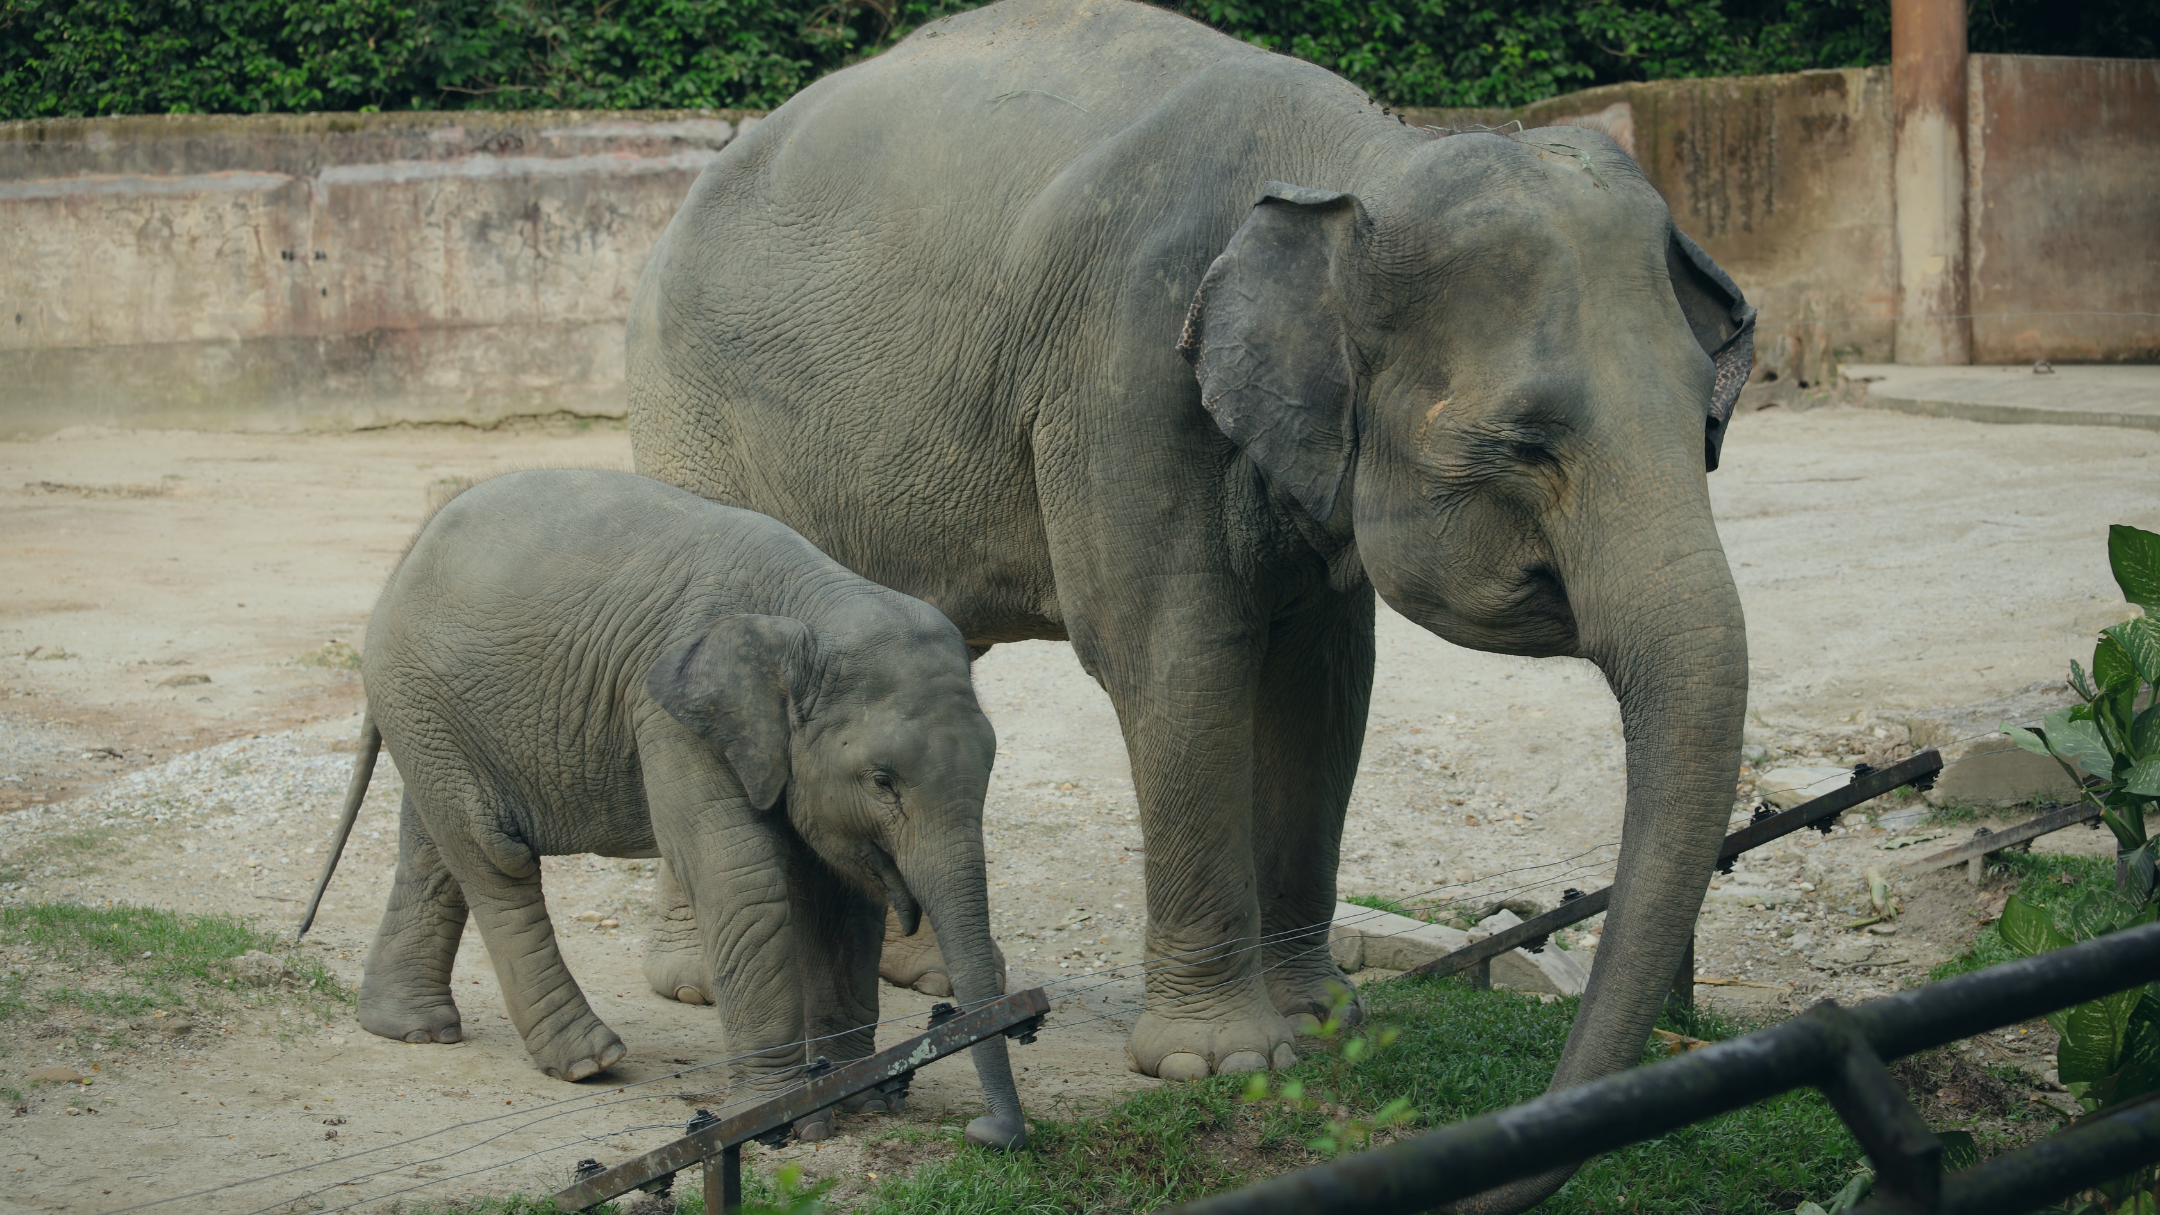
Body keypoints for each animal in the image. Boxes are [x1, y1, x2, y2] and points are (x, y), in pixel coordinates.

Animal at [298, 469, 1028, 1149]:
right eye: (882, 780)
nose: (986, 1134)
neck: (814, 603)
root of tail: (404, 556)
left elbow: (842, 894)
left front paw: (859, 1098)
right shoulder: (673, 716)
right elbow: (739, 876)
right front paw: (782, 1123)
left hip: (434, 715)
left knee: (435, 844)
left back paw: (412, 1029)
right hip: (421, 696)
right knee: (493, 855)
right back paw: (589, 1061)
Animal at [627, 0, 1752, 1204]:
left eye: (1708, 420)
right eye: (1525, 445)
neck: (1361, 162)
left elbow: (1322, 684)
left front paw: (1326, 1023)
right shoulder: (1125, 372)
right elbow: (1177, 658)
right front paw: (1221, 1063)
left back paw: (930, 978)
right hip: (691, 411)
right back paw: (699, 984)